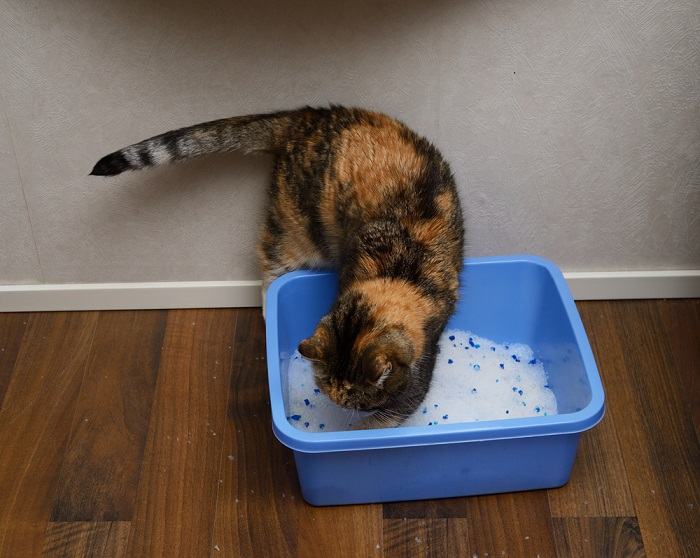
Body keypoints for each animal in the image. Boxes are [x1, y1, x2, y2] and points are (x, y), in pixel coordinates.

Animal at [91, 106, 464, 428]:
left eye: (359, 403)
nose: (345, 410)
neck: (397, 272)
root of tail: (307, 116)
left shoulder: (421, 362)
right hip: (296, 230)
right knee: (268, 263)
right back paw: (268, 309)